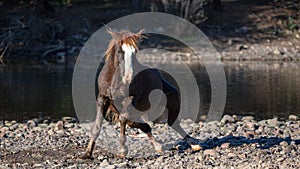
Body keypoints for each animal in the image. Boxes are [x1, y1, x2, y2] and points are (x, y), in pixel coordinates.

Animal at [81, 28, 200, 158]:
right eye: (119, 51)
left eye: (135, 51)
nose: (129, 78)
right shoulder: (102, 99)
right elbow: (97, 126)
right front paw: (87, 153)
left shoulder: (131, 98)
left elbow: (123, 118)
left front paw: (122, 150)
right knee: (142, 123)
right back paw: (158, 145)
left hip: (172, 100)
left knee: (173, 123)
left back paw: (194, 144)